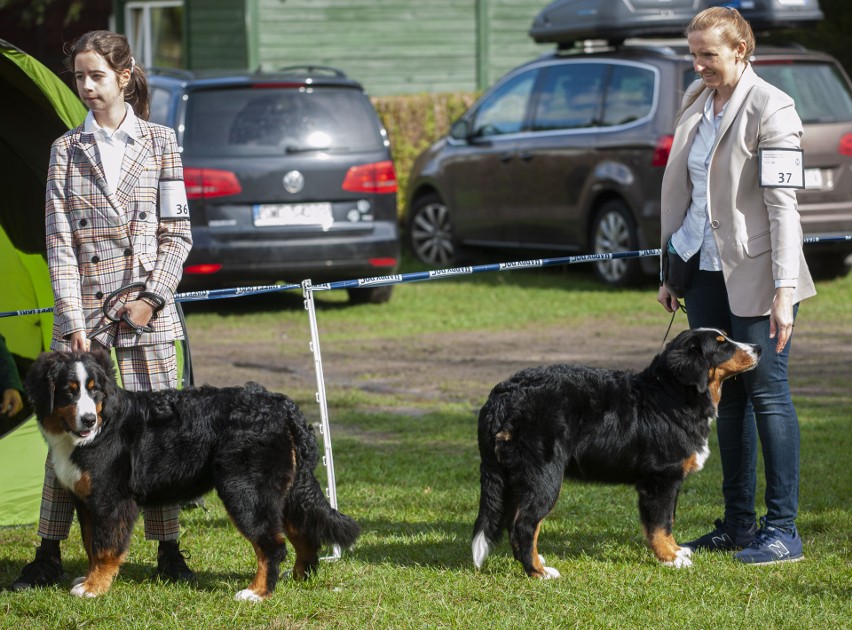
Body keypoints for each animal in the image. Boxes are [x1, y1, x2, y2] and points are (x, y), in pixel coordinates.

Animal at [25, 350, 360, 604]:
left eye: (94, 389)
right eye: (69, 390)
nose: (88, 419)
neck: (100, 428)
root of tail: (279, 403)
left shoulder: (111, 500)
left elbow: (105, 547)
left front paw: (94, 588)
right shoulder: (87, 501)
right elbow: (91, 543)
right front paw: (90, 578)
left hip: (245, 492)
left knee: (272, 545)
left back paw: (257, 593)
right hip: (284, 492)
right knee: (305, 534)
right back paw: (298, 579)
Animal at [472, 328, 760, 580]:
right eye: (721, 344)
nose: (757, 347)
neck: (671, 396)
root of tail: (502, 397)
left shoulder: (669, 481)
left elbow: (667, 522)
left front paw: (676, 550)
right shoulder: (660, 479)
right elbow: (660, 524)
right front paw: (670, 558)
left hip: (516, 479)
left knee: (517, 523)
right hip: (544, 477)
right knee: (524, 525)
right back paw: (539, 572)